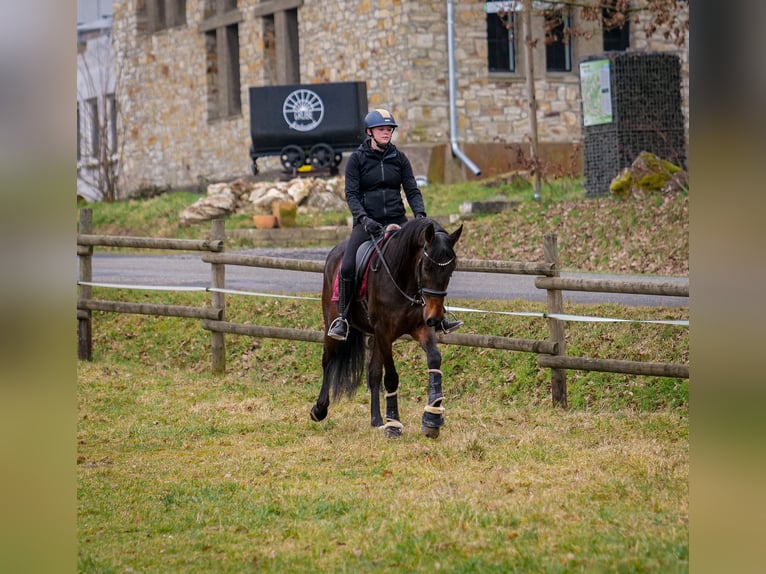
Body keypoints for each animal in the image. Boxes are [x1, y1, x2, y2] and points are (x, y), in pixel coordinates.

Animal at [308, 218, 464, 438]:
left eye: (451, 270)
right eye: (426, 267)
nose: (435, 318)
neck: (403, 279)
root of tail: (334, 252)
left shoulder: (419, 327)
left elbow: (434, 359)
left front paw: (432, 418)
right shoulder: (384, 331)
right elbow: (391, 377)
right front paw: (394, 425)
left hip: (376, 337)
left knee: (373, 373)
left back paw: (376, 420)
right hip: (333, 323)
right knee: (327, 360)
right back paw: (319, 409)